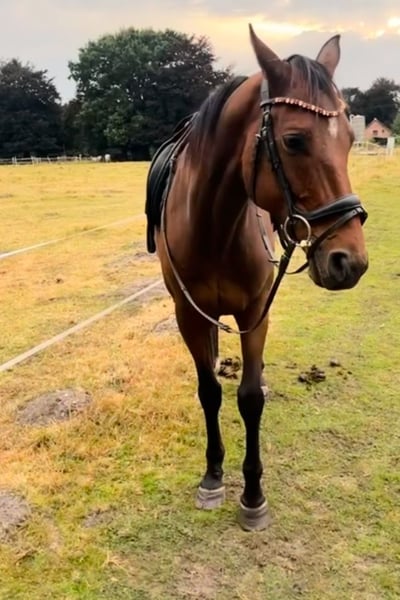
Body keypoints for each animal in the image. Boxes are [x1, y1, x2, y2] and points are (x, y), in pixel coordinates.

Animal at [145, 26, 368, 531]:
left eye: (351, 139)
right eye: (294, 141)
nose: (351, 261)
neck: (215, 226)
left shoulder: (254, 314)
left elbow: (249, 399)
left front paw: (252, 494)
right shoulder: (188, 314)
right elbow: (209, 390)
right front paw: (213, 476)